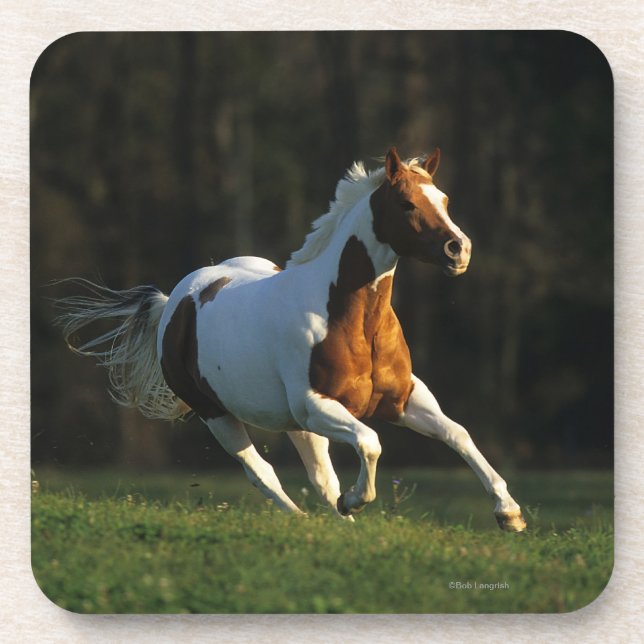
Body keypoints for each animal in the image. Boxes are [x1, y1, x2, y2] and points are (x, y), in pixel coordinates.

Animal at [56, 147, 526, 532]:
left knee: (319, 476)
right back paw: (305, 519)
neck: (353, 321)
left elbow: (457, 434)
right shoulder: (316, 405)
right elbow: (370, 443)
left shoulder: (403, 398)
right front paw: (355, 501)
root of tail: (176, 300)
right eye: (407, 203)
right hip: (219, 415)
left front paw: (510, 514)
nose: (458, 250)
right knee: (261, 472)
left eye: (443, 200)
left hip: (296, 426)